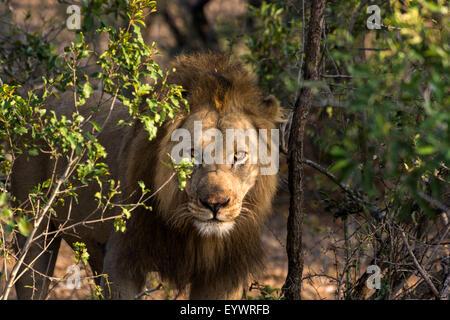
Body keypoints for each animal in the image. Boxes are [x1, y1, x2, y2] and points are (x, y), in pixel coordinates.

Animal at [10, 53, 284, 300]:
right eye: (192, 154)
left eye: (239, 156)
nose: (215, 205)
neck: (191, 233)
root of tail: (38, 97)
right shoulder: (123, 259)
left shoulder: (223, 275)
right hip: (33, 227)